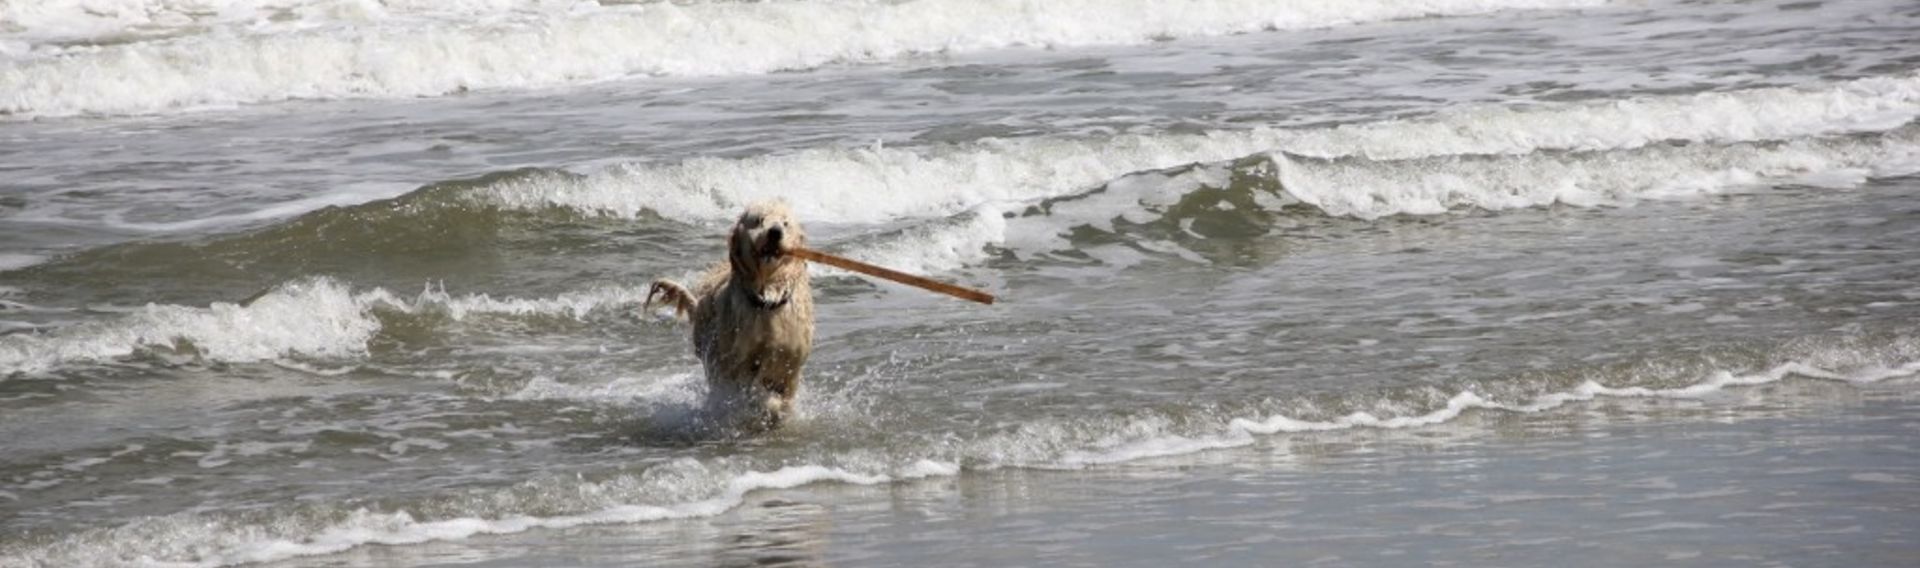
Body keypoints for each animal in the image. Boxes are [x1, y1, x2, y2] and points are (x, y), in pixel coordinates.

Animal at [648, 201, 814, 427]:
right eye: (759, 220)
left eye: (785, 223)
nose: (775, 232)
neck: (766, 302)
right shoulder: (737, 362)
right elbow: (751, 391)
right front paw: (761, 407)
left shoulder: (789, 364)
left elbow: (780, 394)